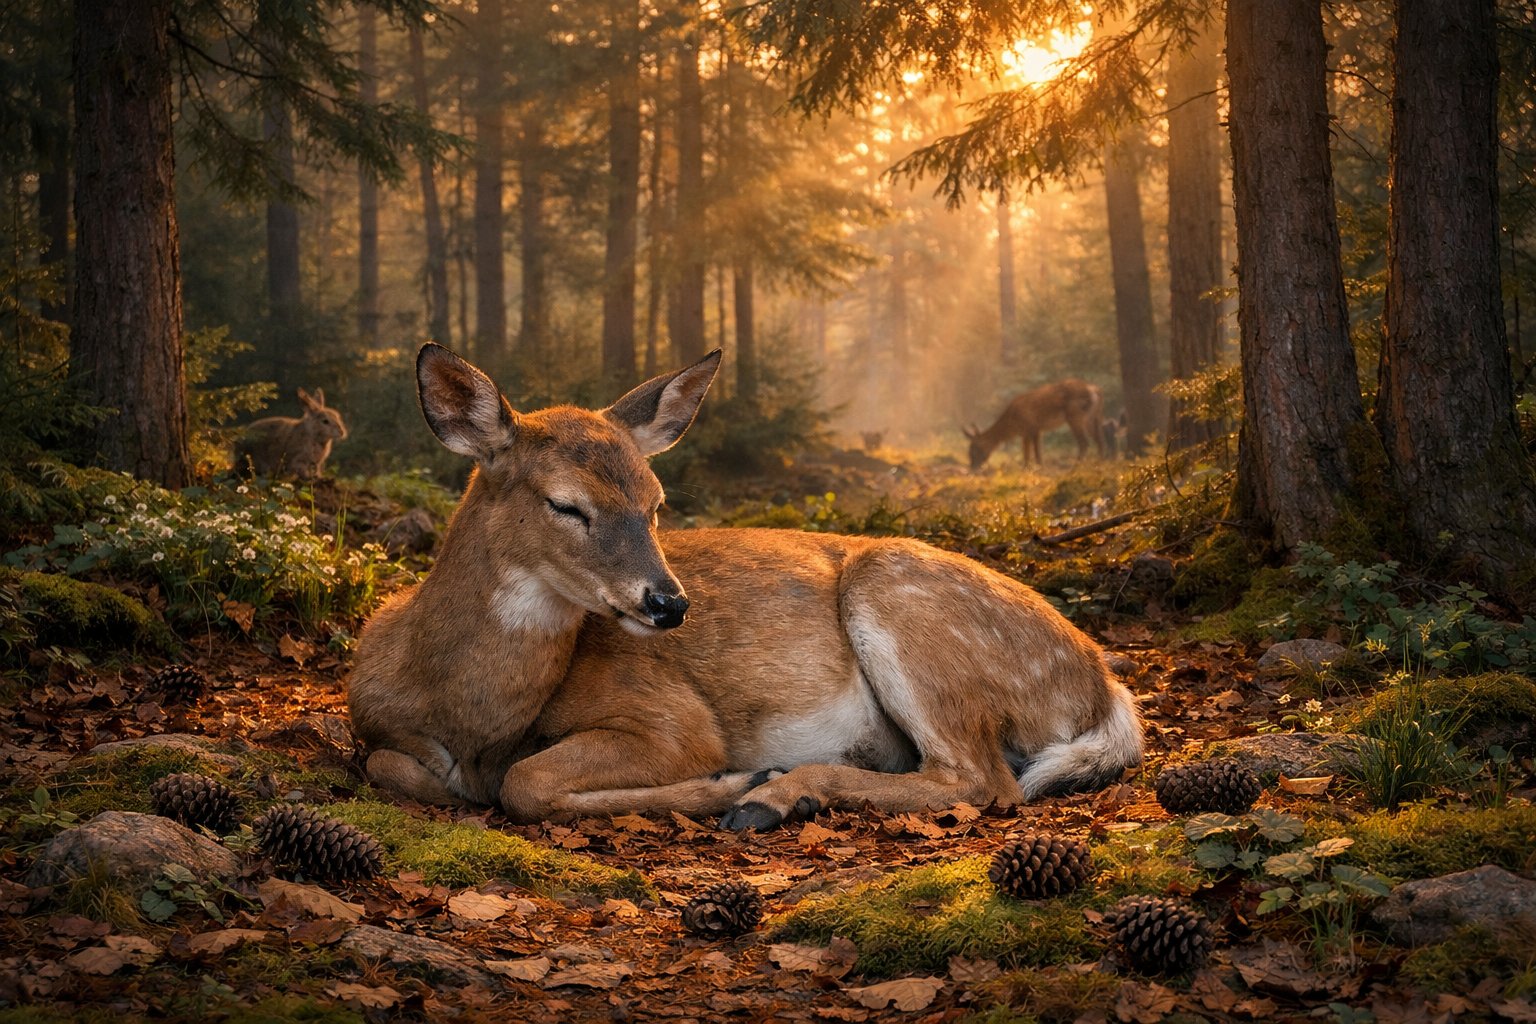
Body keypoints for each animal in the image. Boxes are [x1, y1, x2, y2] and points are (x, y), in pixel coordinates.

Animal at [963, 380, 1105, 471]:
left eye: (973, 449)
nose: (972, 467)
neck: (1013, 424)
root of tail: (1093, 389)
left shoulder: (1032, 427)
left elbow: (1032, 452)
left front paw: (1034, 468)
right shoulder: (1032, 430)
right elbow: (1030, 452)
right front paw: (1032, 468)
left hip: (1075, 415)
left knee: (1084, 442)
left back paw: (1076, 466)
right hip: (1093, 417)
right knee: (1099, 439)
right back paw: (1100, 463)